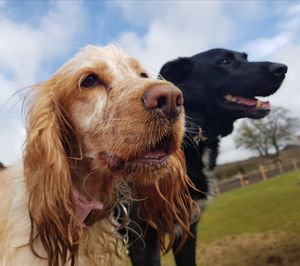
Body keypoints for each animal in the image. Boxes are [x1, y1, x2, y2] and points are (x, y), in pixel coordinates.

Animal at [127, 49, 288, 266]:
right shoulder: (142, 242)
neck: (194, 139)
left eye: (245, 57)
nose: (282, 68)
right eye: (225, 61)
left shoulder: (187, 229)